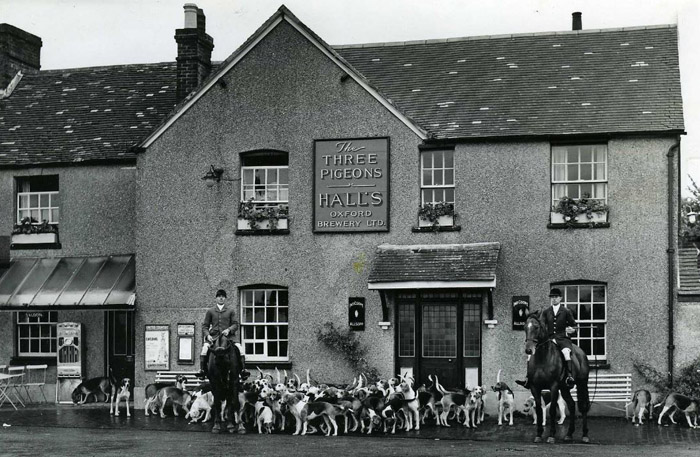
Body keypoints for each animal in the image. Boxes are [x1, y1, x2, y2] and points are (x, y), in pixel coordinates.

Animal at [524, 310, 592, 442]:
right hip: (564, 388)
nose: (529, 350)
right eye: (525, 327)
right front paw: (539, 434)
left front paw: (551, 435)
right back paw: (569, 434)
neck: (542, 358)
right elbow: (539, 410)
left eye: (536, 327)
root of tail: (580, 351)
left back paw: (585, 435)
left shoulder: (554, 386)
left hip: (582, 383)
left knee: (583, 406)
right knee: (571, 405)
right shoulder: (535, 387)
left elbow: (552, 411)